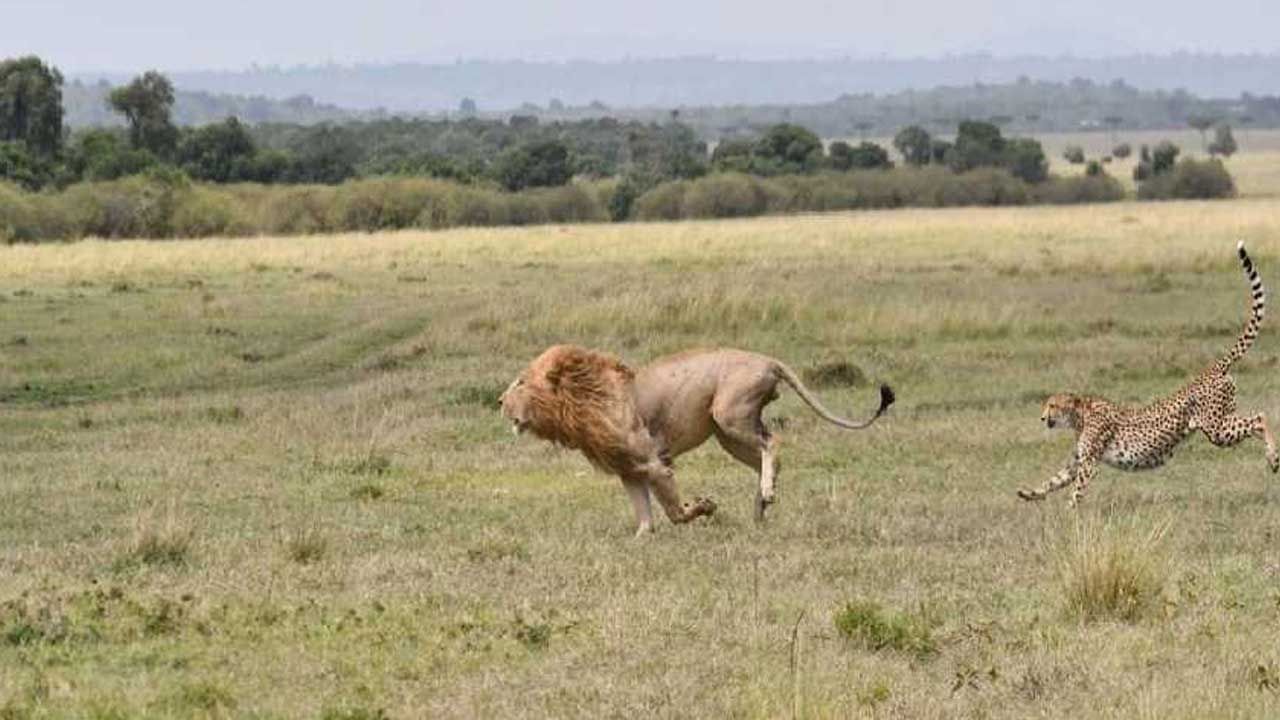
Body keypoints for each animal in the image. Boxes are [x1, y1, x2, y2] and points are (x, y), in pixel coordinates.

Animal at [494, 340, 896, 532]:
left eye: (520, 382)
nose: (498, 401)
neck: (580, 401)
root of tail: (768, 360)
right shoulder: (629, 470)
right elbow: (645, 517)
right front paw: (641, 538)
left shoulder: (652, 461)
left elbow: (673, 511)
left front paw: (703, 507)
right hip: (728, 434)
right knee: (768, 455)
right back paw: (760, 509)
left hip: (729, 415)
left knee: (773, 443)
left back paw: (766, 495)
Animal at [1018, 240, 1280, 504]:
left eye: (1052, 405)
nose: (1042, 418)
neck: (1080, 415)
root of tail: (1212, 368)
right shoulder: (1077, 462)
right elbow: (1053, 480)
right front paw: (1028, 493)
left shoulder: (1089, 464)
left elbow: (1076, 491)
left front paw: (1071, 511)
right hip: (1224, 419)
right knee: (1254, 422)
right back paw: (1271, 458)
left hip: (1216, 429)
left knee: (1260, 417)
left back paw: (1274, 457)